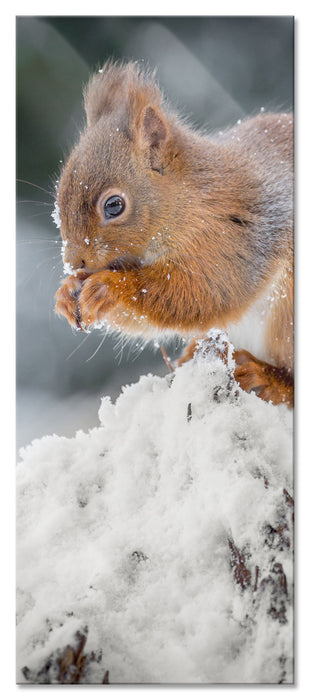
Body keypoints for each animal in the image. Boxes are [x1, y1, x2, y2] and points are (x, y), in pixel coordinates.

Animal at [54, 64, 294, 410]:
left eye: (114, 205)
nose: (74, 262)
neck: (189, 201)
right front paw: (66, 292)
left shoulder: (234, 239)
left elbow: (203, 293)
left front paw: (110, 288)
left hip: (287, 322)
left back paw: (267, 377)